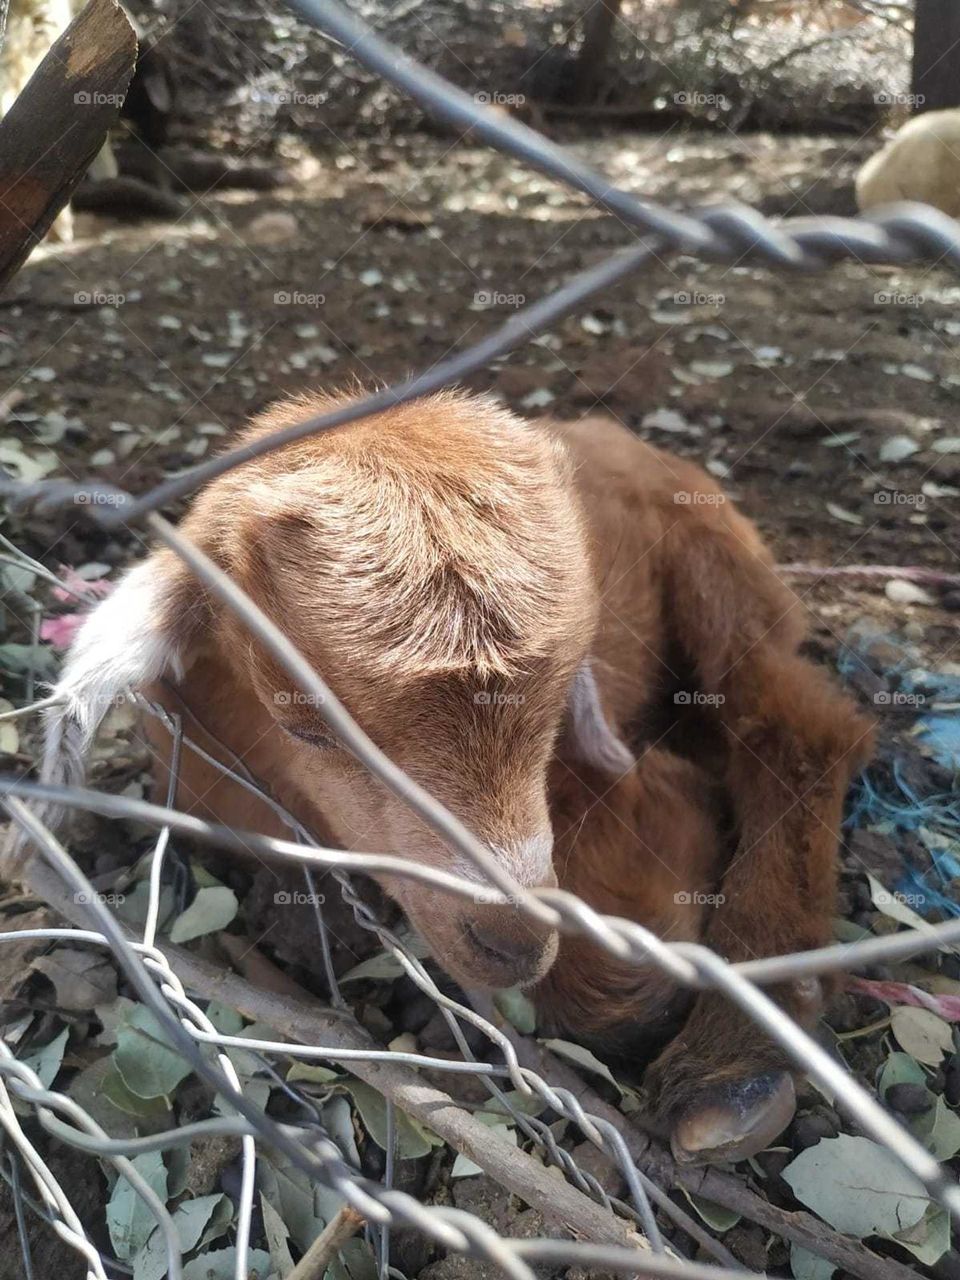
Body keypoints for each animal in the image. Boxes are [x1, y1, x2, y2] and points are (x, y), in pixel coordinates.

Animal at [43, 389, 872, 1164]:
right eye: (303, 725)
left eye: (564, 694)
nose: (518, 938)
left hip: (717, 565)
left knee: (798, 724)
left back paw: (737, 1067)